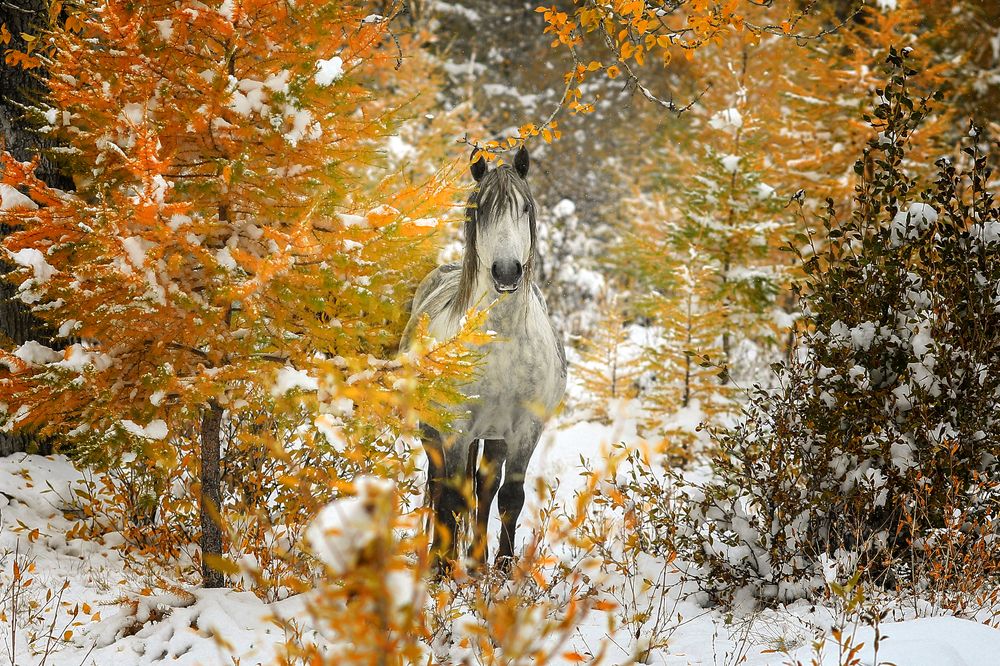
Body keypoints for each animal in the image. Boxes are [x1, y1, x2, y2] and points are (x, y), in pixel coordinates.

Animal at [401, 145, 567, 574]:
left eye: (525, 208)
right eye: (479, 210)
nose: (507, 272)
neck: (502, 339)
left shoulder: (526, 429)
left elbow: (510, 497)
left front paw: (504, 568)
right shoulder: (456, 429)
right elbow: (452, 497)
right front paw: (442, 570)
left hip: (494, 435)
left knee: (485, 488)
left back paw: (477, 561)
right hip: (433, 429)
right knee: (442, 484)